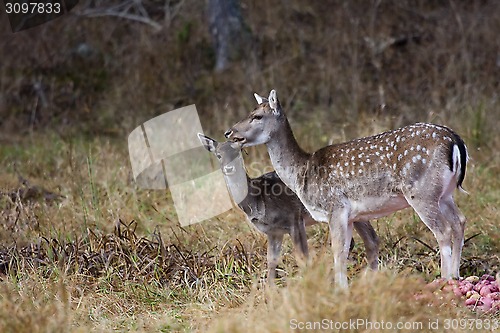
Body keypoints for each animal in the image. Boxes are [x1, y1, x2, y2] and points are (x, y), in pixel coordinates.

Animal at [196, 134, 378, 284]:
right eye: (218, 155)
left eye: (238, 153)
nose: (229, 168)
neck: (257, 201)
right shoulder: (273, 231)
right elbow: (271, 262)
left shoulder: (294, 218)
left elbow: (303, 258)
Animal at [227, 89, 468, 286]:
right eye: (250, 111)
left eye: (257, 116)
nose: (229, 132)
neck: (301, 172)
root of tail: (455, 141)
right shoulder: (352, 215)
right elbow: (346, 250)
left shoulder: (335, 207)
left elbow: (338, 251)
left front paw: (340, 290)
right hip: (444, 194)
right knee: (459, 221)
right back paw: (456, 276)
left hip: (421, 192)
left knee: (443, 230)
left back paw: (444, 280)